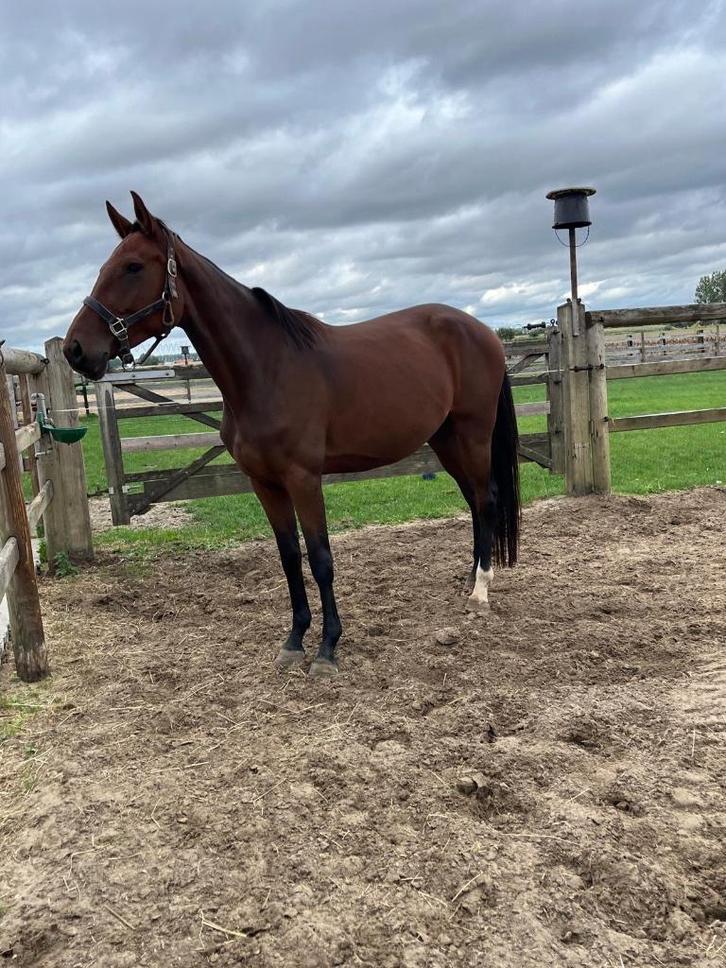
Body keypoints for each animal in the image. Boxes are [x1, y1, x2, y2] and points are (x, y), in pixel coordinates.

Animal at [63, 192, 520, 677]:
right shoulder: (264, 483)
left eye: (132, 266)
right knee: (473, 501)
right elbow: (288, 557)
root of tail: (483, 331)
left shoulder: (303, 479)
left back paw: (480, 593)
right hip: (445, 440)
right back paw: (471, 578)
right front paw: (295, 640)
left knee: (486, 499)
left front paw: (327, 648)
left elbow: (320, 559)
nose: (75, 349)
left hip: (473, 436)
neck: (267, 369)